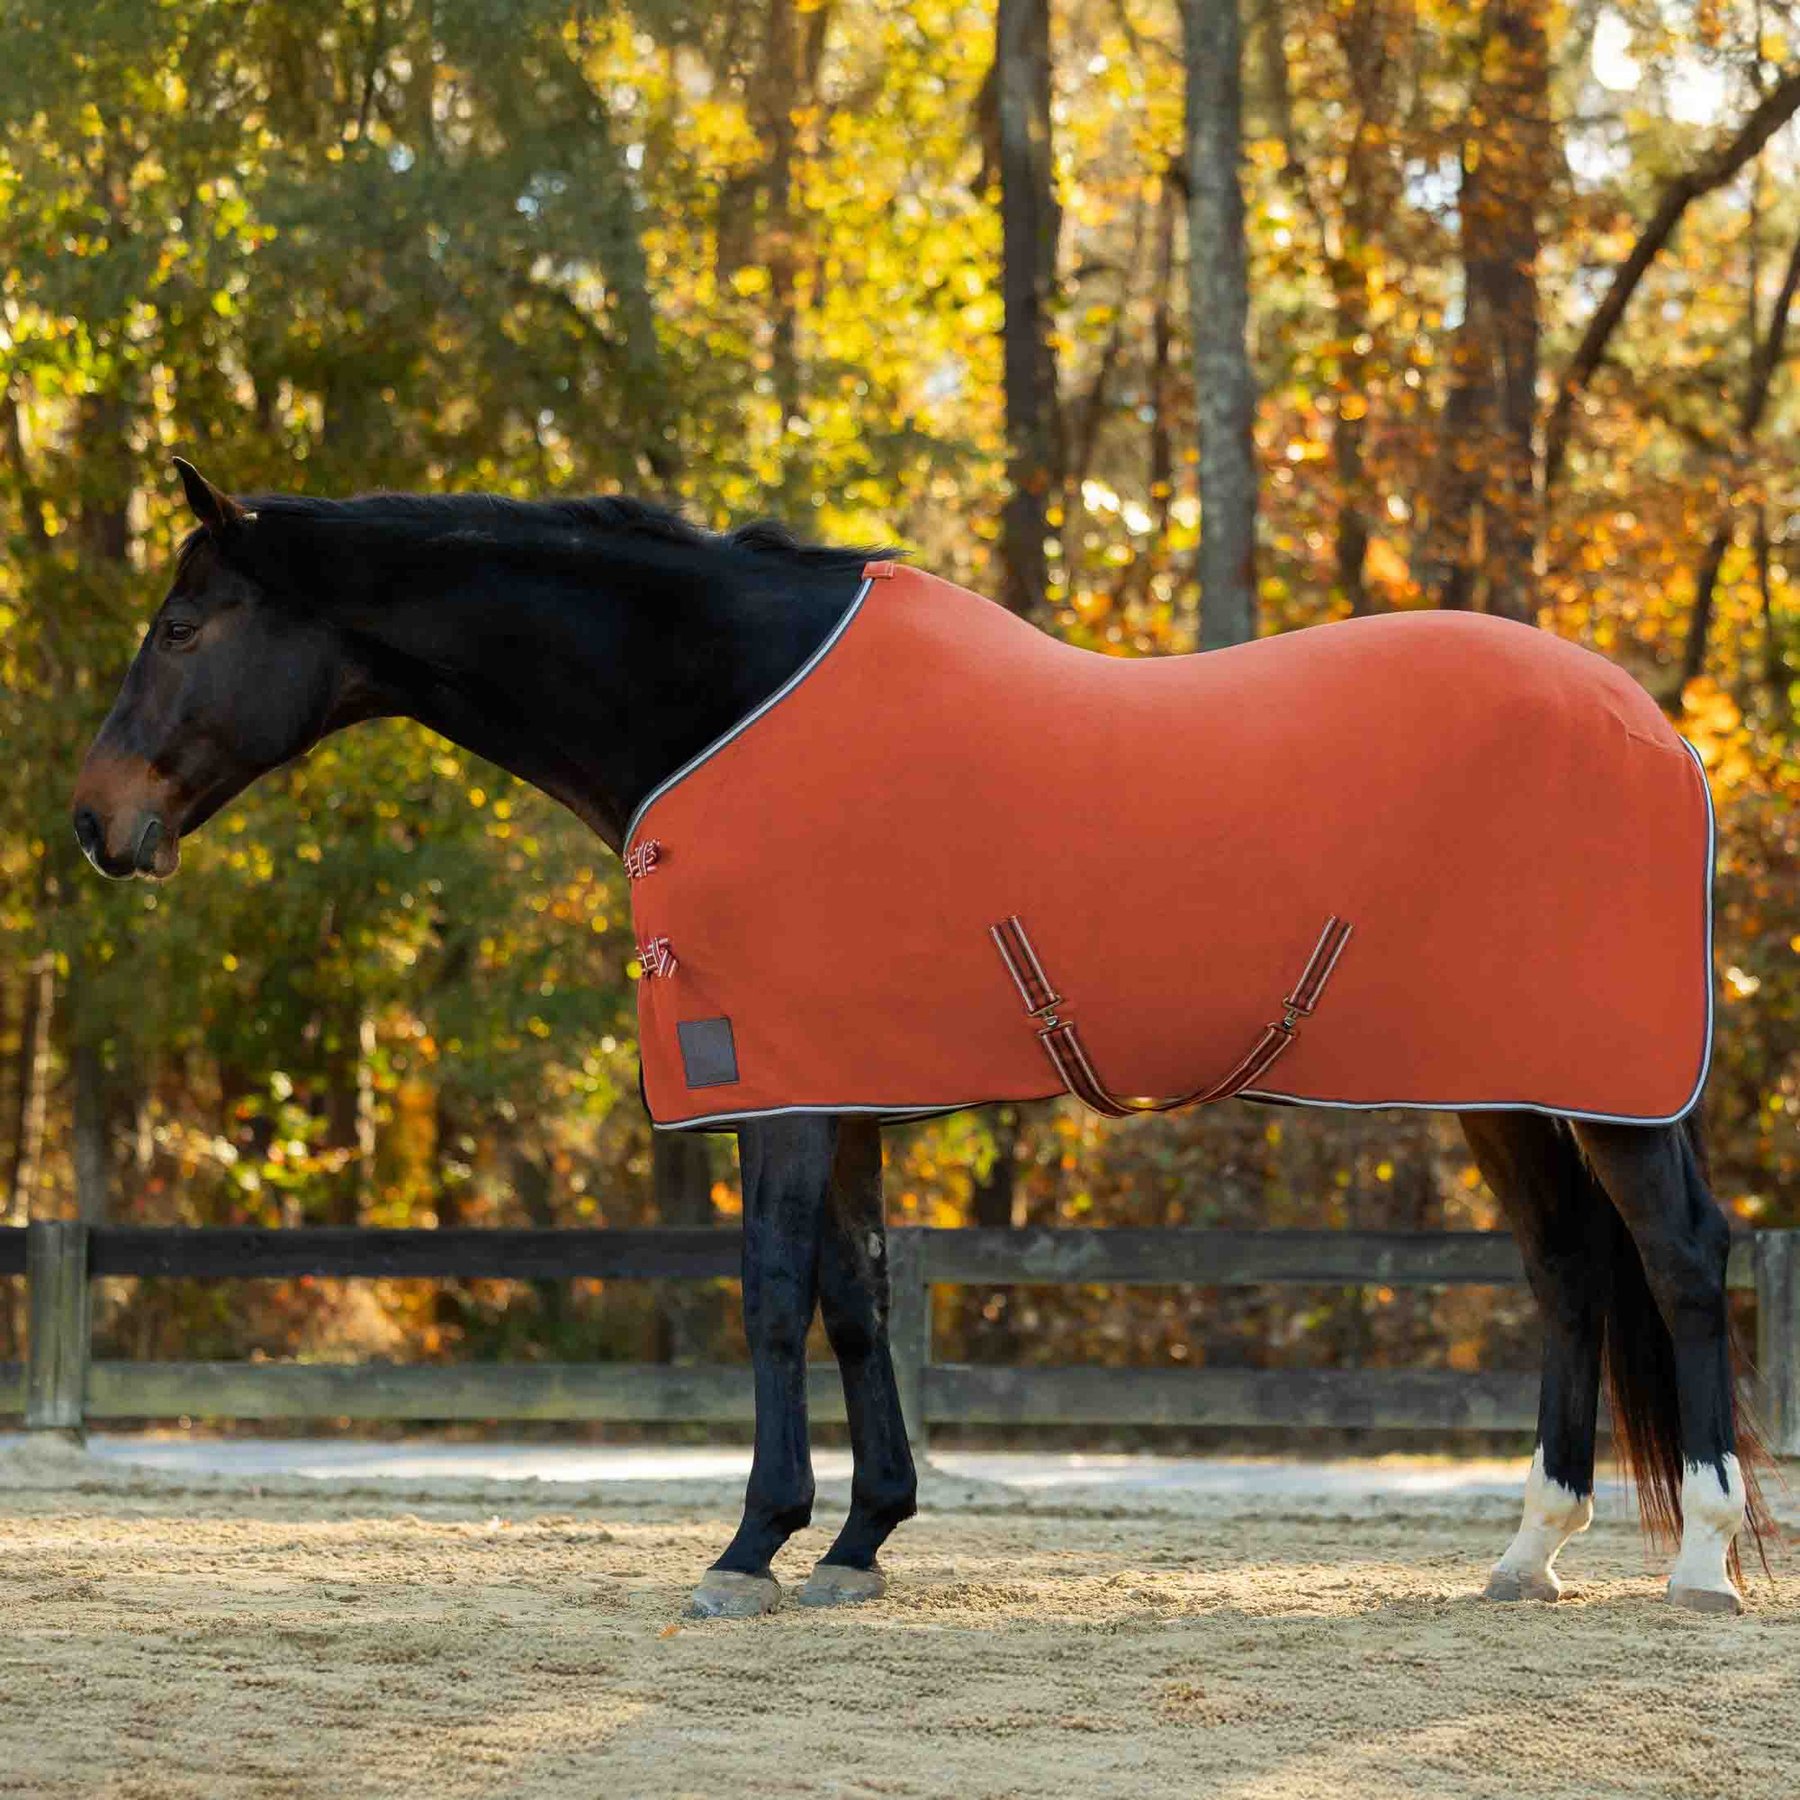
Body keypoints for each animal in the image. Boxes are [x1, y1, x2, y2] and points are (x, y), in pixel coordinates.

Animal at [73, 459, 1769, 1617]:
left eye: (181, 622)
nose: (96, 822)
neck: (725, 699)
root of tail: (1657, 729)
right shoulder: (840, 1082)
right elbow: (858, 1300)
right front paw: (860, 1538)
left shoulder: (779, 1083)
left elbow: (772, 1297)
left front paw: (749, 1546)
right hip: (1506, 1084)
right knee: (1565, 1271)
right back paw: (1530, 1550)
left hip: (1609, 1088)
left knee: (1680, 1258)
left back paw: (1705, 1565)